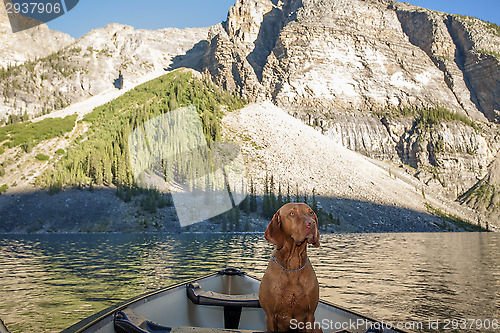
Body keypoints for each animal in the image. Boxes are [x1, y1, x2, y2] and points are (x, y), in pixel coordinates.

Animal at [260, 201, 322, 330]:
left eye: (311, 213)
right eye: (292, 213)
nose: (311, 223)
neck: (293, 264)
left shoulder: (310, 315)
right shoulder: (270, 316)